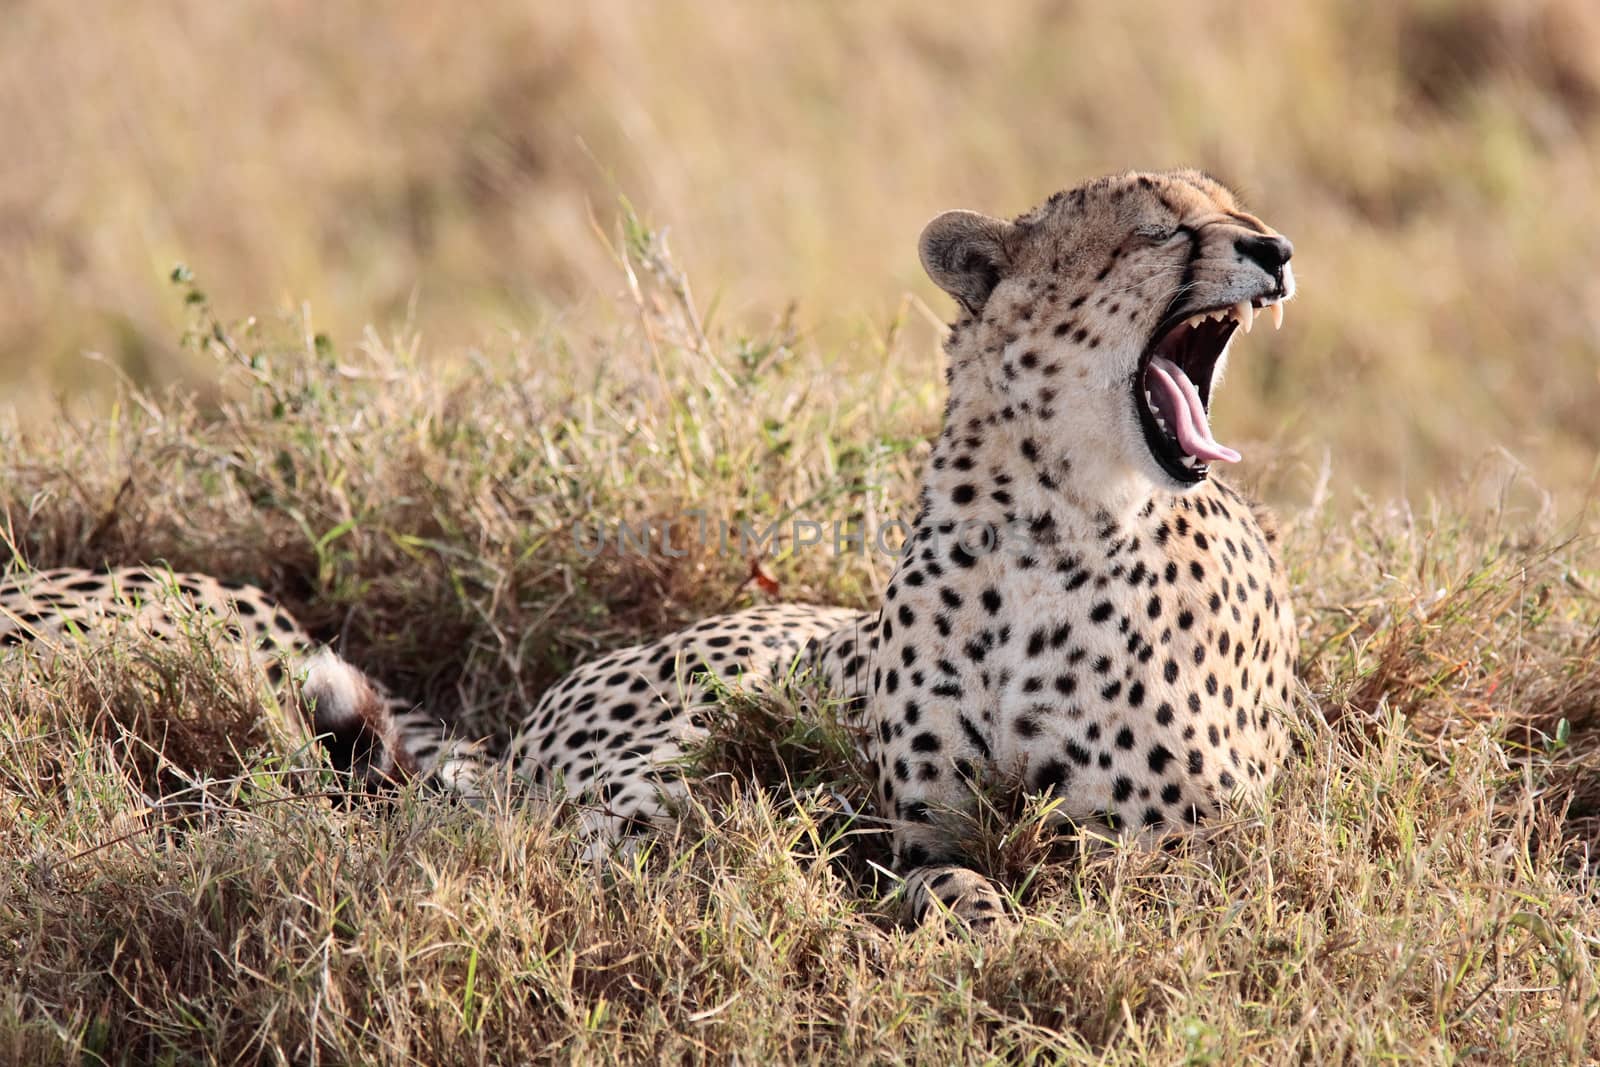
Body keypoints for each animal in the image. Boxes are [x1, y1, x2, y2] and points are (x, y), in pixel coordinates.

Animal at [502, 171, 1299, 927]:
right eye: (1162, 230)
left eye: (1242, 212)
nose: (1279, 250)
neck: (1047, 524)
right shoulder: (927, 837)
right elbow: (954, 886)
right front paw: (984, 928)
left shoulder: (1190, 846)